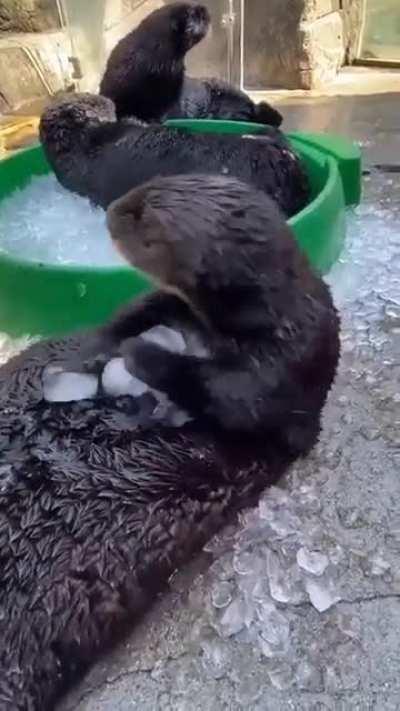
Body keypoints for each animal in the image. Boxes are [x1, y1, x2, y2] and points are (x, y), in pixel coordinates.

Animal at [84, 174, 340, 457]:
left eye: (142, 217)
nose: (111, 211)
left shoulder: (277, 361)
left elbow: (234, 396)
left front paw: (138, 351)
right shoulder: (183, 305)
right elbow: (146, 306)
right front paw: (100, 344)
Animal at [99, 2, 282, 127]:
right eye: (195, 14)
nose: (205, 8)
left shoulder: (169, 92)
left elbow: (163, 112)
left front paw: (142, 120)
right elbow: (115, 102)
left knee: (253, 109)